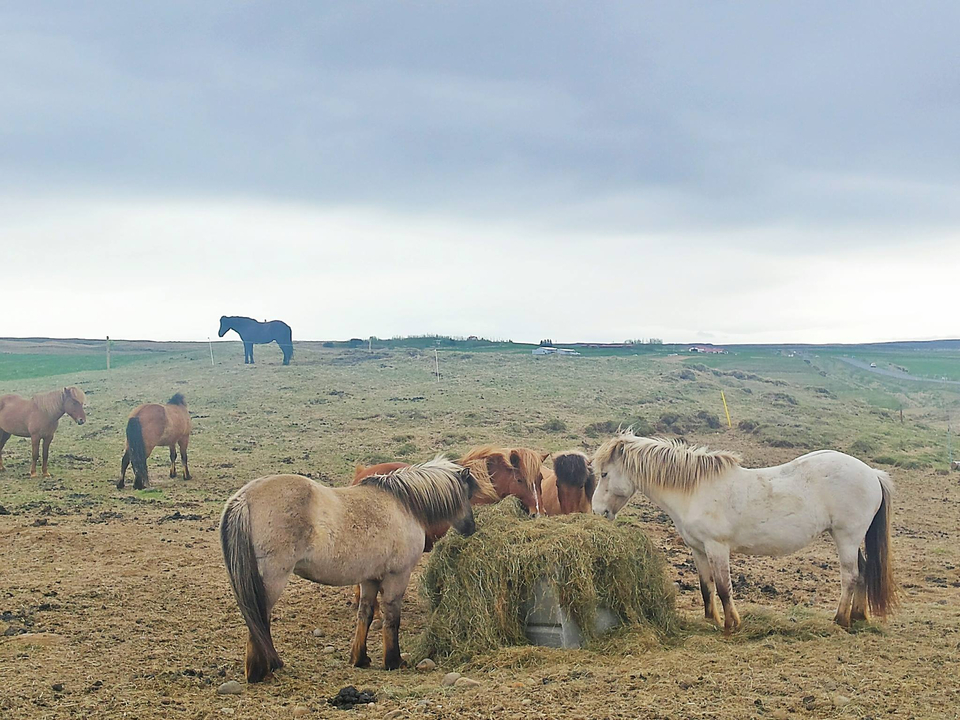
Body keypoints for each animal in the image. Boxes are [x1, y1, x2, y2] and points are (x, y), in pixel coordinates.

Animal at [220, 457, 478, 681]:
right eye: (467, 496)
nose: (471, 528)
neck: (402, 505)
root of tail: (244, 499)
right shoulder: (398, 576)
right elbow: (392, 618)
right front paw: (393, 661)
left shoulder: (369, 578)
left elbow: (365, 614)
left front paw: (360, 658)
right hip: (272, 581)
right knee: (259, 619)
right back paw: (259, 672)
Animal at [591, 431, 897, 633]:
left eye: (605, 474)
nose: (597, 511)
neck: (695, 490)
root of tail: (872, 473)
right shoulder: (698, 549)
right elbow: (706, 586)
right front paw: (711, 620)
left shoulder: (717, 547)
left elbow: (724, 587)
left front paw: (731, 624)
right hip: (850, 540)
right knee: (862, 572)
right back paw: (858, 616)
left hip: (846, 537)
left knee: (850, 576)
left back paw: (841, 620)